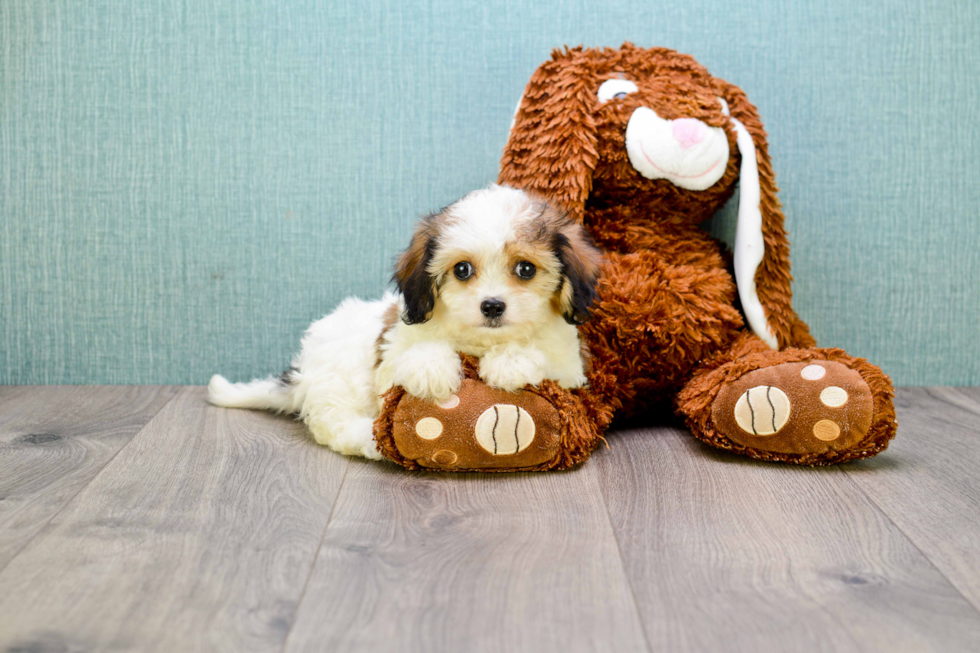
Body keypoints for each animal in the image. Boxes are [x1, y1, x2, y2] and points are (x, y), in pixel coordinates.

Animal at [211, 183, 600, 458]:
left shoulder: (570, 367)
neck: (479, 344)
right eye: (462, 269)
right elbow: (413, 355)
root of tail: (302, 373)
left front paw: (511, 362)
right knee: (335, 423)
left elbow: (544, 358)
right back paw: (369, 441)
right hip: (338, 380)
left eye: (526, 269)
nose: (492, 306)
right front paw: (432, 369)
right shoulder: (393, 348)